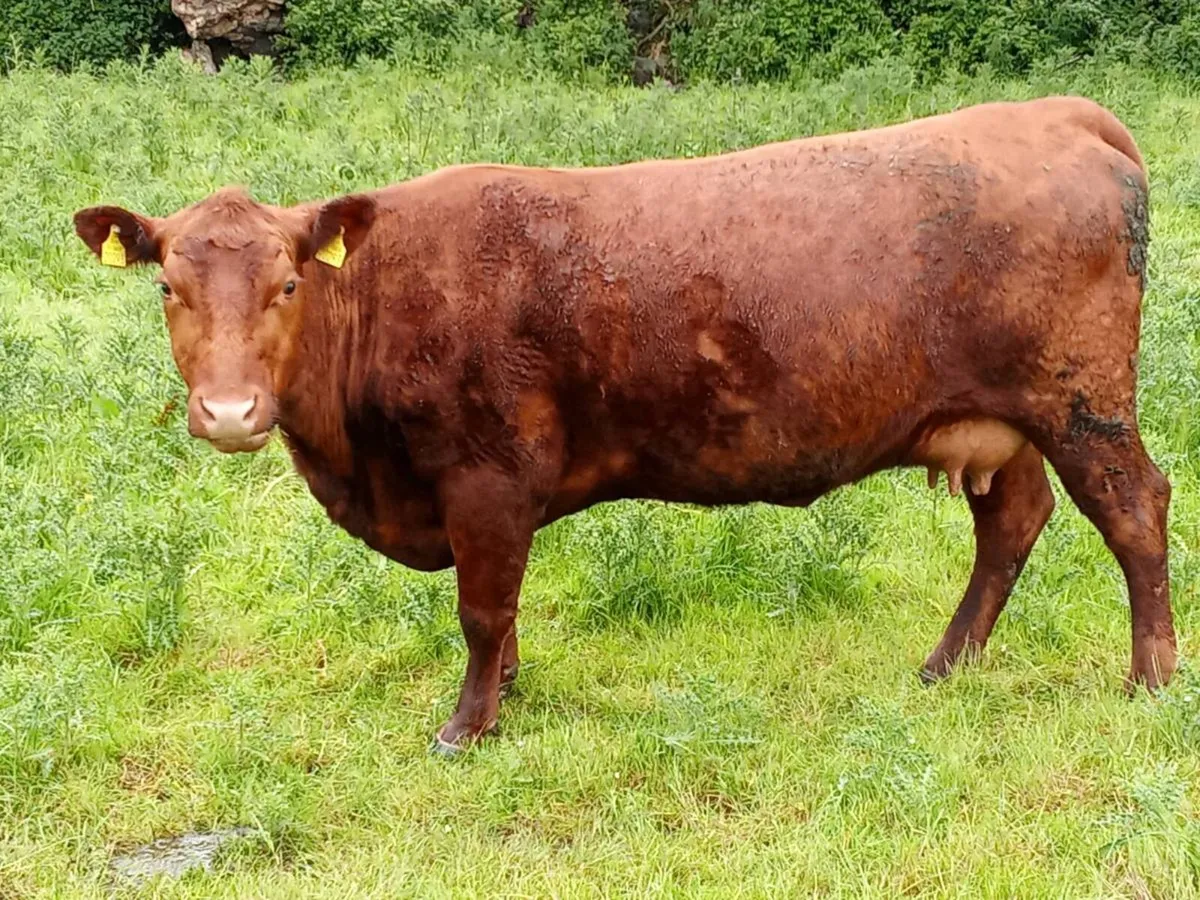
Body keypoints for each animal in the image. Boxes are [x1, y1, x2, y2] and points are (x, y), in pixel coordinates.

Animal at [74, 96, 1174, 753]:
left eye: (290, 282)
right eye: (169, 285)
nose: (229, 412)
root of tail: (1060, 113)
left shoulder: (487, 477)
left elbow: (481, 608)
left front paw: (467, 728)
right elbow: (503, 609)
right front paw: (506, 693)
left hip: (1083, 403)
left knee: (1135, 515)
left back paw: (1151, 682)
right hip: (1000, 420)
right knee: (1013, 523)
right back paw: (948, 665)